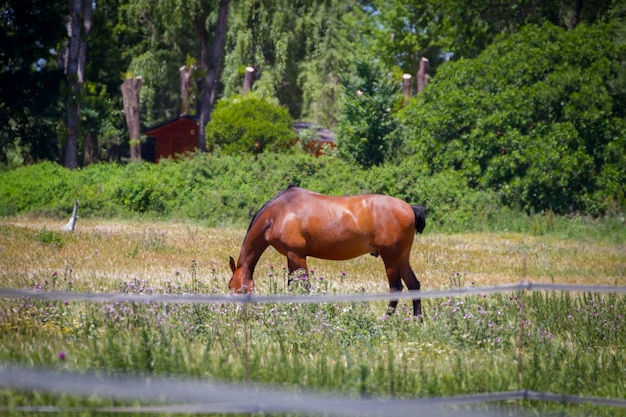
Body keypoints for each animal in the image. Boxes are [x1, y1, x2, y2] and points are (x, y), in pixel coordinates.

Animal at [227, 185, 426, 316]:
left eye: (231, 286)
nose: (235, 313)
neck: (278, 213)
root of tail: (409, 208)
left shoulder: (296, 255)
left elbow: (302, 287)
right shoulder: (292, 257)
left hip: (390, 258)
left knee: (396, 288)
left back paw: (386, 319)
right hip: (402, 258)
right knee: (414, 285)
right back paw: (418, 320)